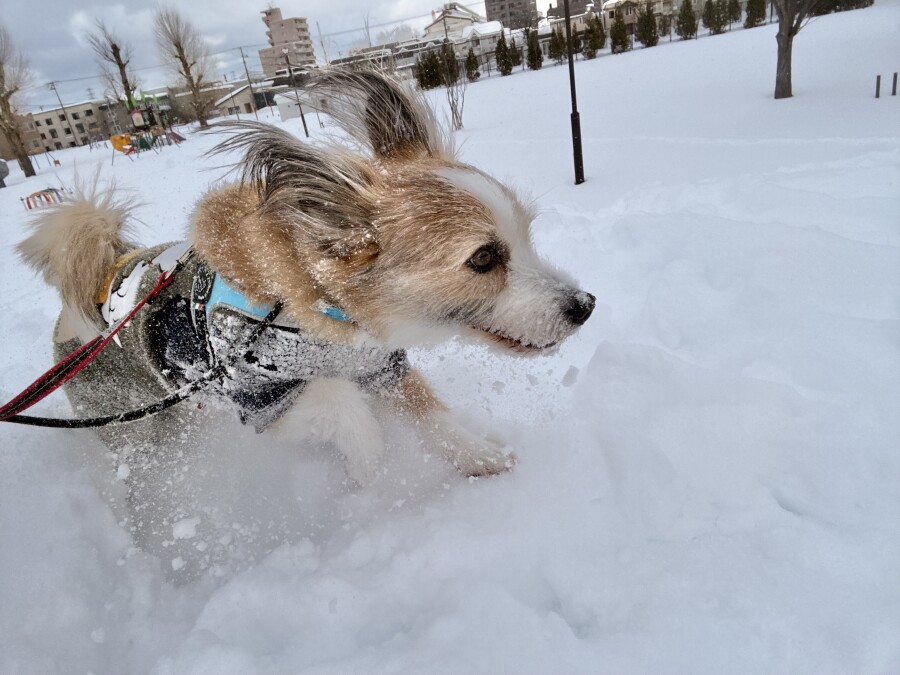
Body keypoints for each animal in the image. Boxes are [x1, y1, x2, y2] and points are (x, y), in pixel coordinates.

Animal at [17, 71, 594, 488]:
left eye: (525, 234)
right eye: (483, 258)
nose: (585, 305)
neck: (321, 311)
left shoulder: (380, 365)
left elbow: (427, 412)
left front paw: (475, 455)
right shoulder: (260, 397)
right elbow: (344, 406)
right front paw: (371, 476)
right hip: (141, 433)